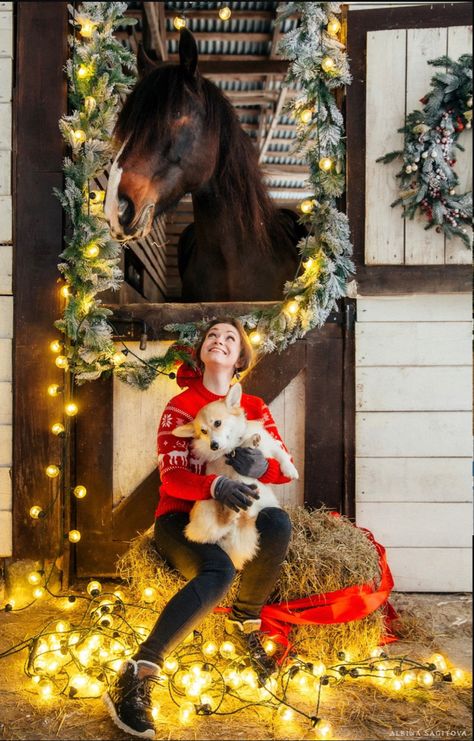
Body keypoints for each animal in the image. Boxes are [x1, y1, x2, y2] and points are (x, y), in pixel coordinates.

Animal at [172, 382, 298, 568]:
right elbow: (238, 449)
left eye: (217, 423)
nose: (214, 445)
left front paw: (290, 469)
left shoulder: (270, 445)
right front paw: (247, 443)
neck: (234, 443)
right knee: (222, 519)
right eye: (203, 432)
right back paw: (232, 509)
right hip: (207, 503)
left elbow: (281, 454)